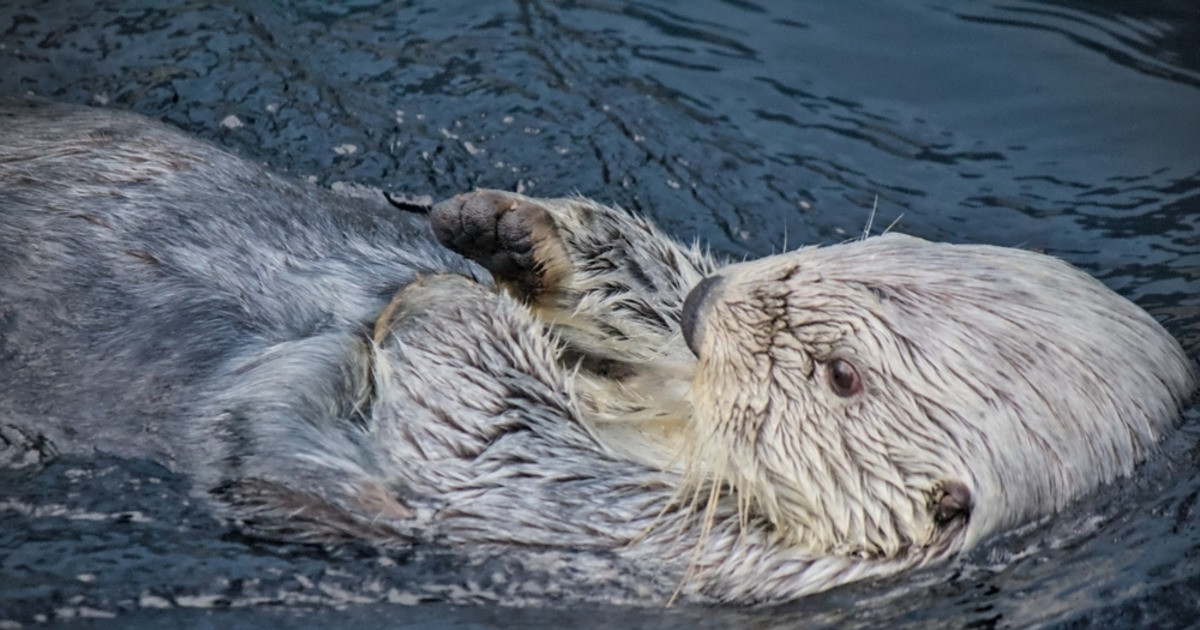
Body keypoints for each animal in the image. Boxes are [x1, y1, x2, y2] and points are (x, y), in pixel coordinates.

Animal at [0, 99, 1195, 604]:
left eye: (842, 375)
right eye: (859, 246)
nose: (714, 304)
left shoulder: (654, 542)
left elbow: (489, 427)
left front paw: (443, 296)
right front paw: (517, 233)